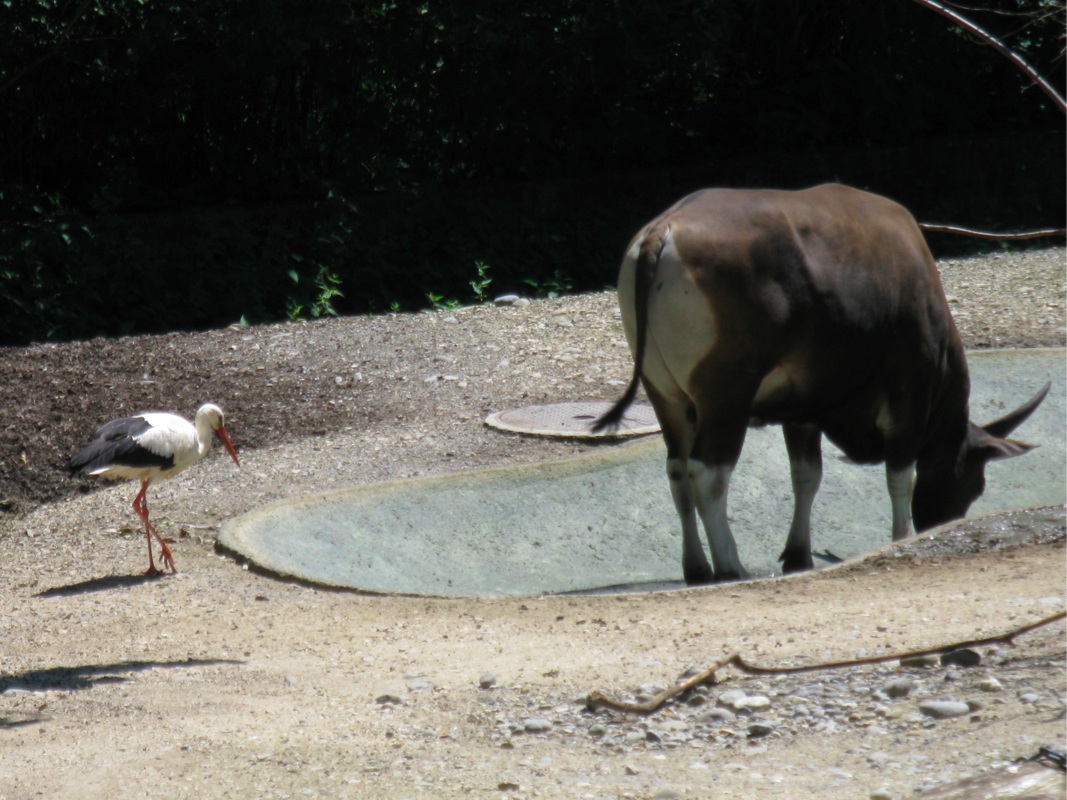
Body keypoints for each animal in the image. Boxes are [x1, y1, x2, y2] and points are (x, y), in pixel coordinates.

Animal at [594, 184, 1049, 585]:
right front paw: (899, 538)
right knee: (709, 473)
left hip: (666, 396)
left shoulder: (803, 409)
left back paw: (697, 568)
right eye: (977, 482)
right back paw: (730, 567)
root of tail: (663, 230)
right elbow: (899, 474)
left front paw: (798, 555)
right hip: (725, 396)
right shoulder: (910, 392)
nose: (940, 524)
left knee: (677, 470)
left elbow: (806, 476)